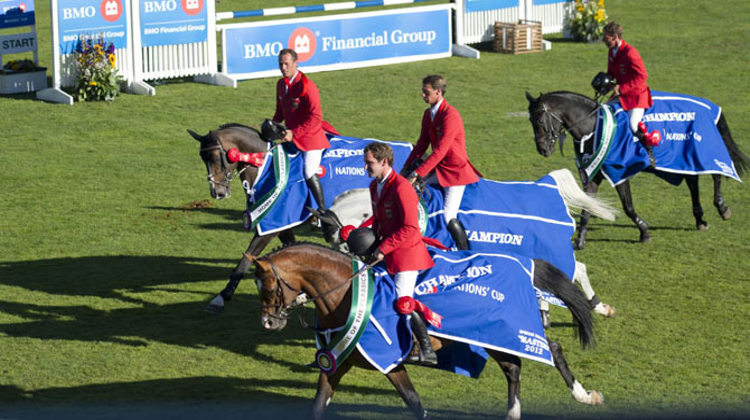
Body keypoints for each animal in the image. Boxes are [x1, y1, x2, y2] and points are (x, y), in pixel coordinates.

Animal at [253, 243, 604, 420]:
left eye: (268, 286)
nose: (269, 323)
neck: (346, 295)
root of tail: (524, 264)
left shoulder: (390, 361)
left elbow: (413, 401)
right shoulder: (336, 362)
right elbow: (317, 405)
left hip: (507, 331)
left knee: (552, 349)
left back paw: (584, 395)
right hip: (495, 337)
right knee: (513, 368)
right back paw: (514, 413)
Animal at [524, 92, 748, 249]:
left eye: (540, 120)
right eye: (530, 121)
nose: (543, 149)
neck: (594, 126)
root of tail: (710, 106)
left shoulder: (619, 173)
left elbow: (628, 206)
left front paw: (644, 231)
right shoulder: (593, 176)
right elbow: (587, 206)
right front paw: (580, 241)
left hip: (701, 151)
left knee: (717, 173)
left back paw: (722, 208)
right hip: (683, 159)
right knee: (693, 182)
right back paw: (700, 219)